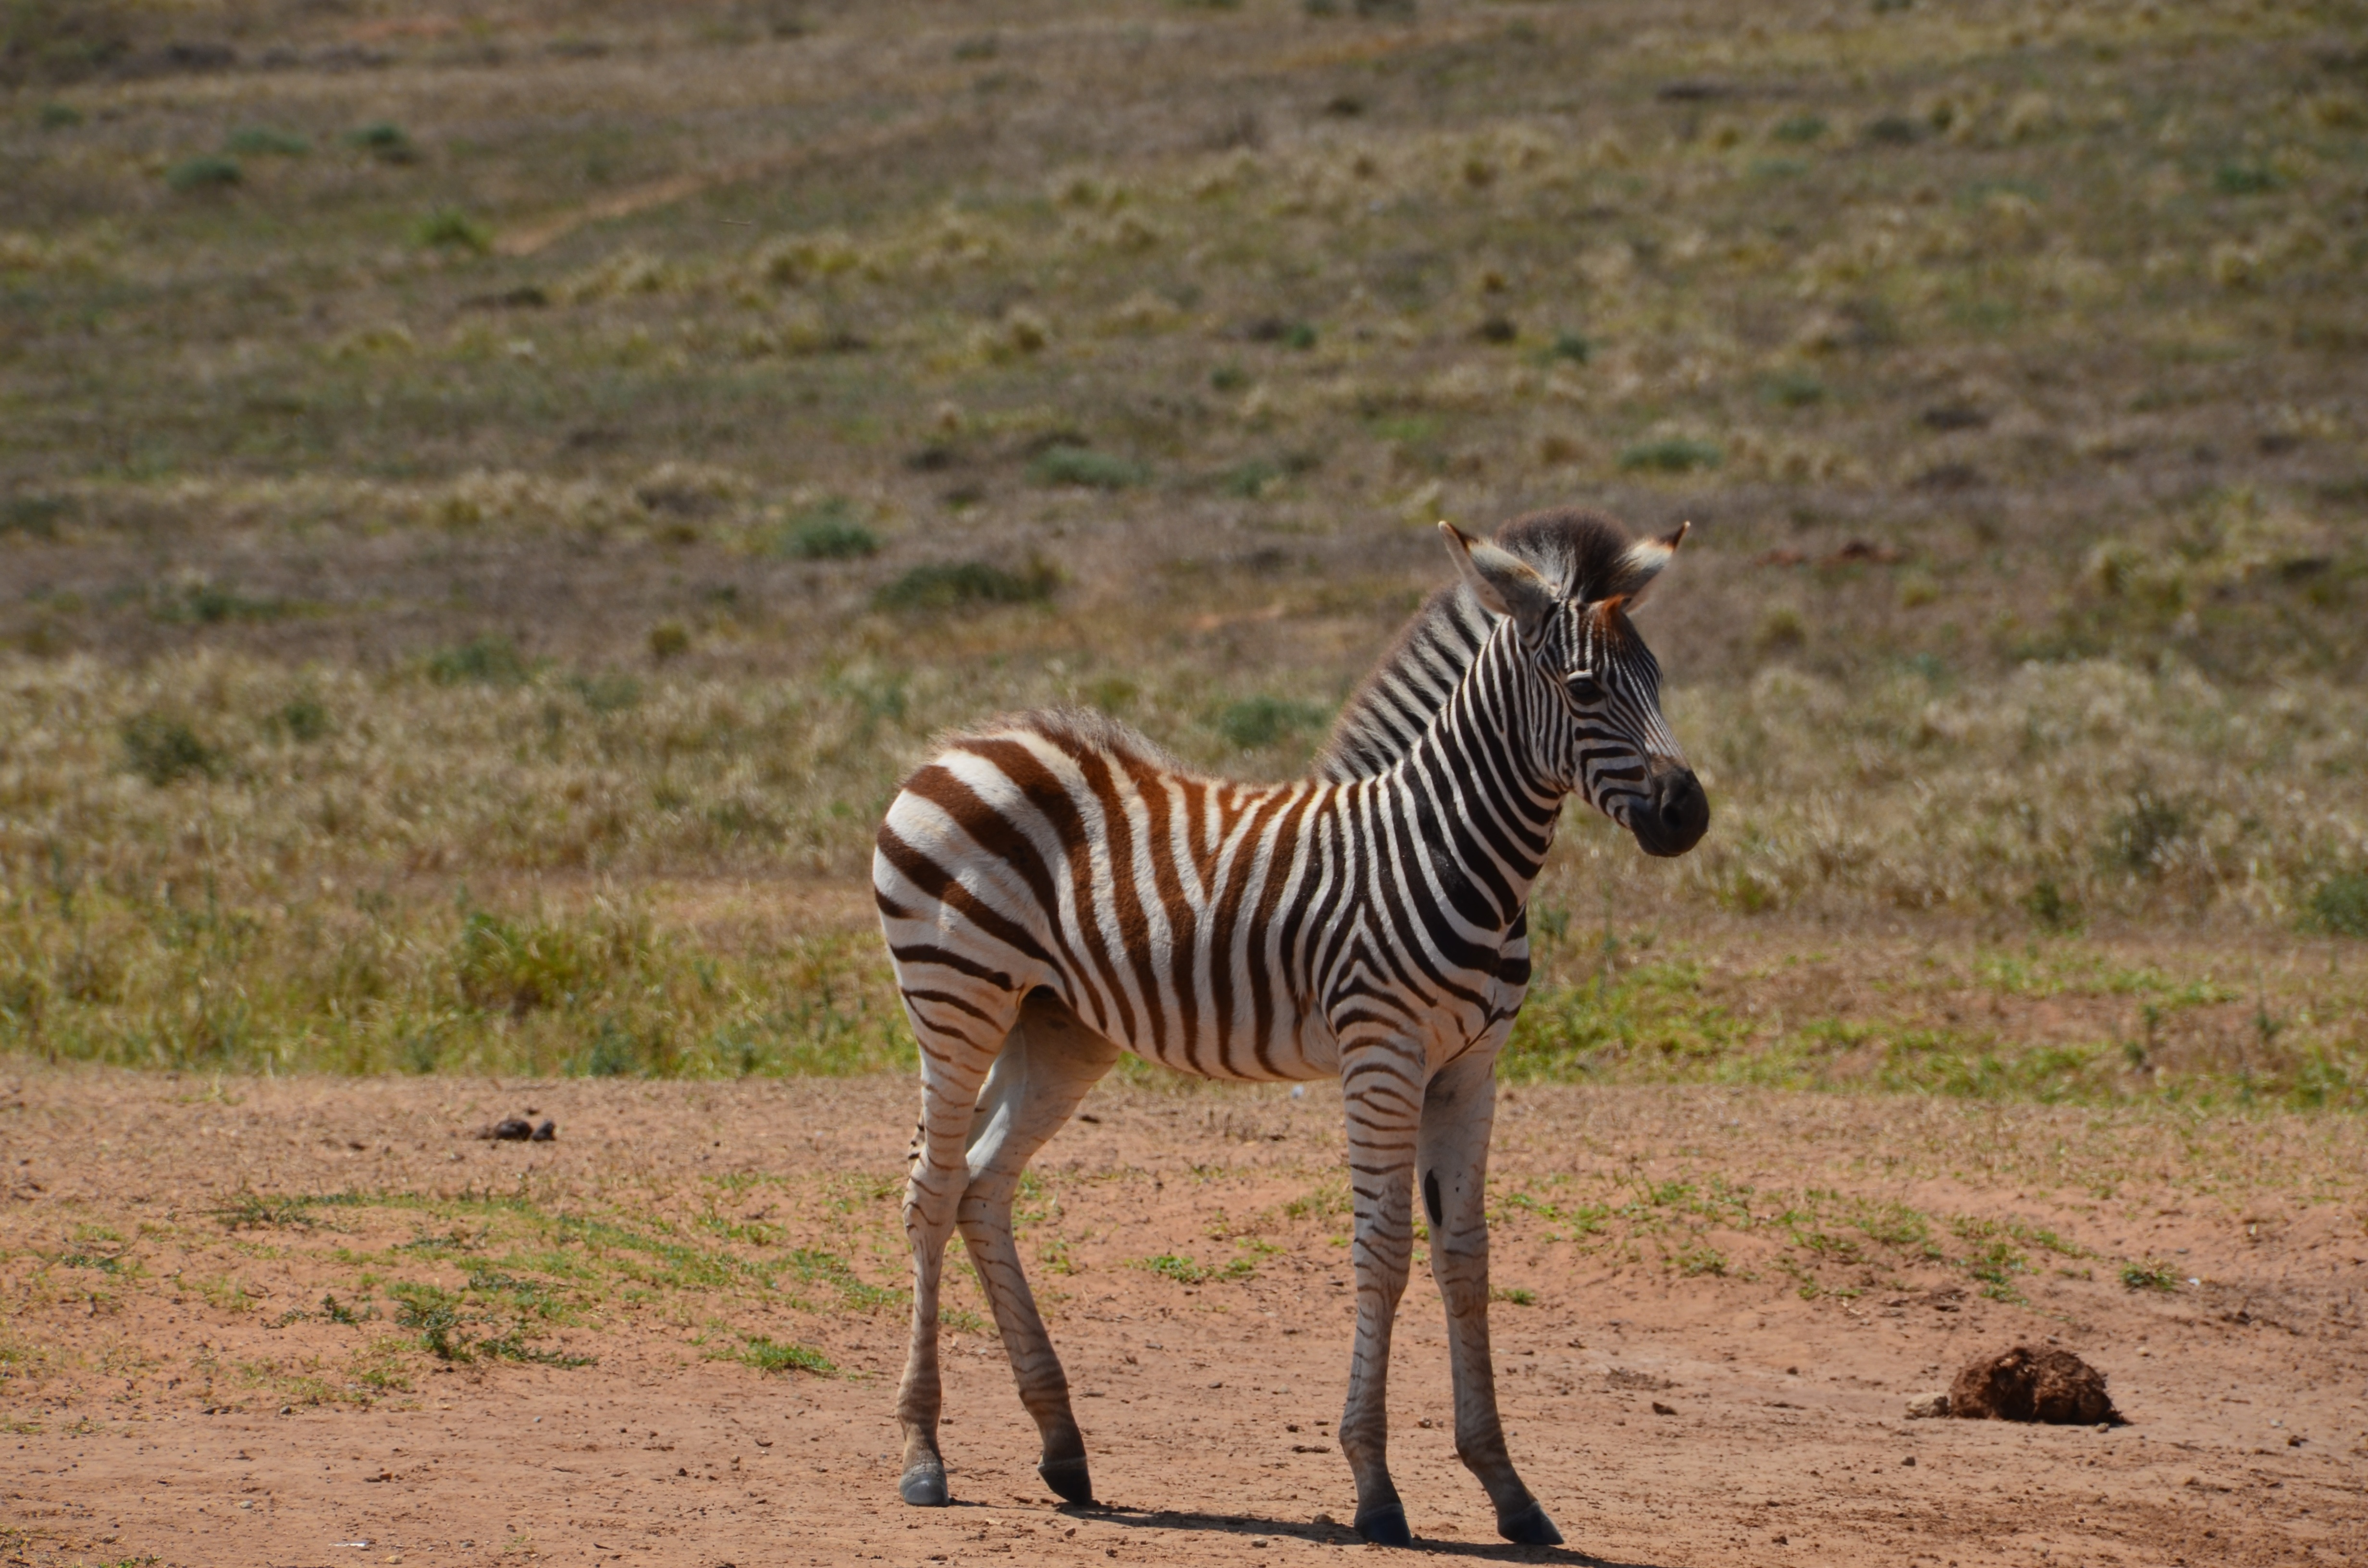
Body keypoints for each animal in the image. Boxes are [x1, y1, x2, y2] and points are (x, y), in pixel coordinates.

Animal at [871, 514, 1705, 1544]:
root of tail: (960, 745)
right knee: (930, 1190)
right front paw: (1374, 1484)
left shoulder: (1471, 1066)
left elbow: (1465, 1258)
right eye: (1585, 688)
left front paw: (1507, 1487)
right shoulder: (1381, 1052)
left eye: (1660, 679)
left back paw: (1063, 1445)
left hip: (1057, 1025)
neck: (1450, 851)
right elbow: (1383, 1252)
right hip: (955, 998)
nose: (1687, 812)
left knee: (981, 1186)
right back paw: (922, 1453)